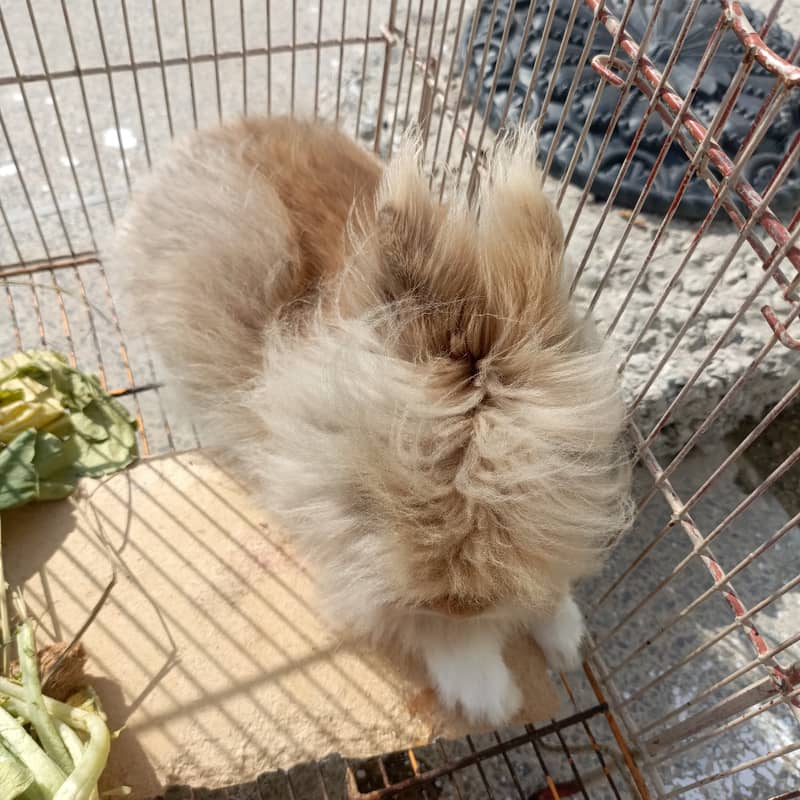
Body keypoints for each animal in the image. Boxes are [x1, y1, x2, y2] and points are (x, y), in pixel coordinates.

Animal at [112, 116, 631, 726]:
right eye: (392, 494)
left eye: (543, 490)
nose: (461, 604)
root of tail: (217, 129)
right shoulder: (347, 546)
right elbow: (418, 624)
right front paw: (489, 697)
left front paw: (569, 642)